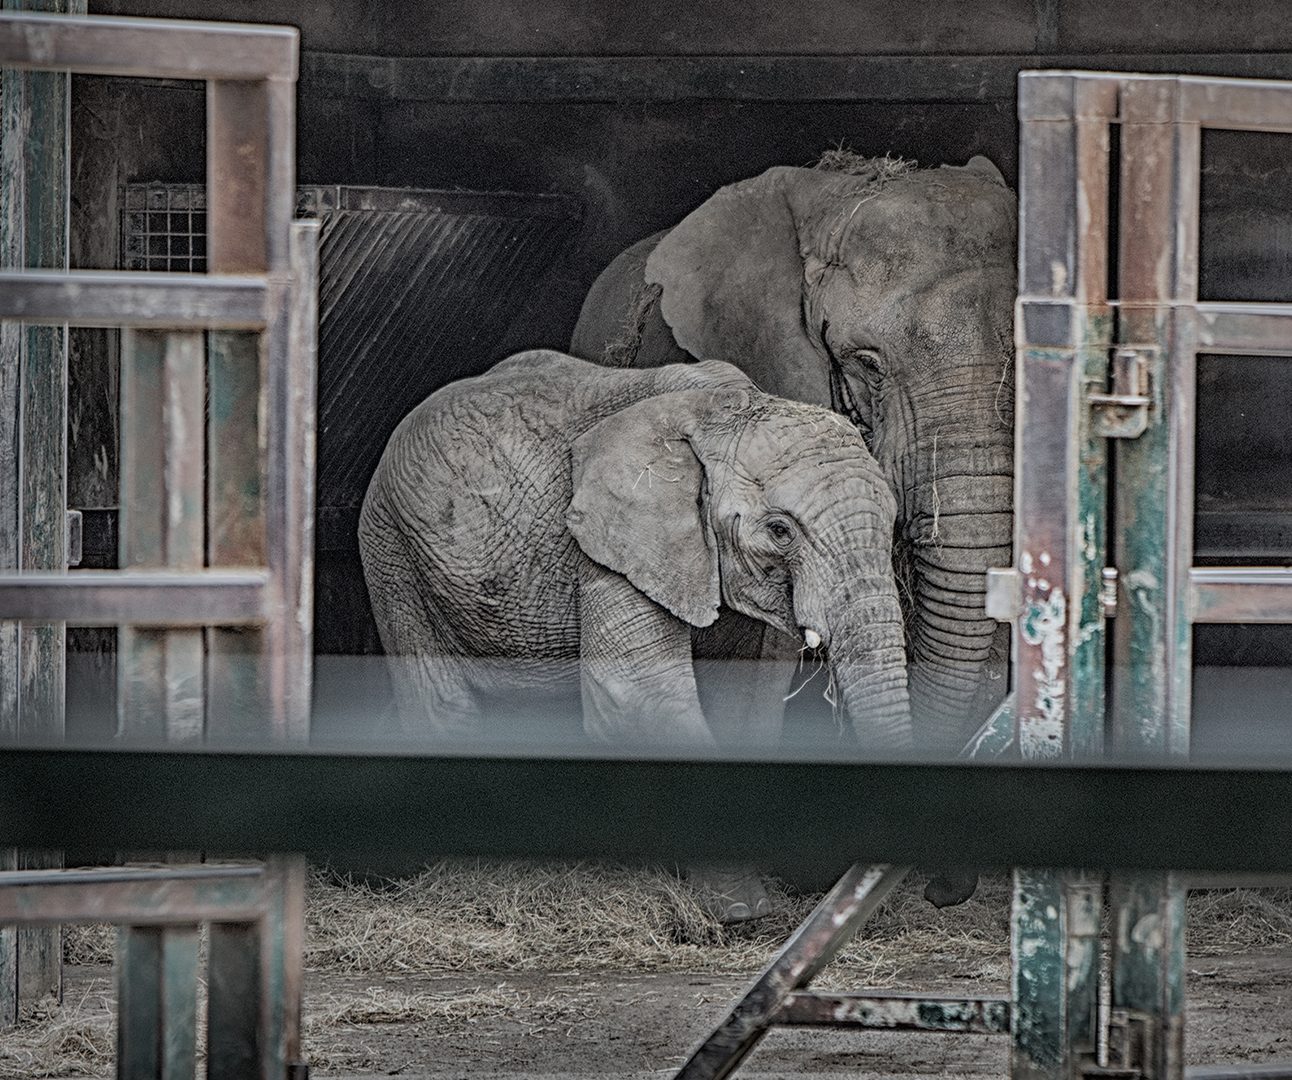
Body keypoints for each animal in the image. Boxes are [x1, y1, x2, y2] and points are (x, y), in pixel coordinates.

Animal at [359, 351, 914, 749]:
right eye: (781, 531)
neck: (719, 407)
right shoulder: (613, 543)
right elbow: (640, 704)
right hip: (390, 551)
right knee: (443, 706)